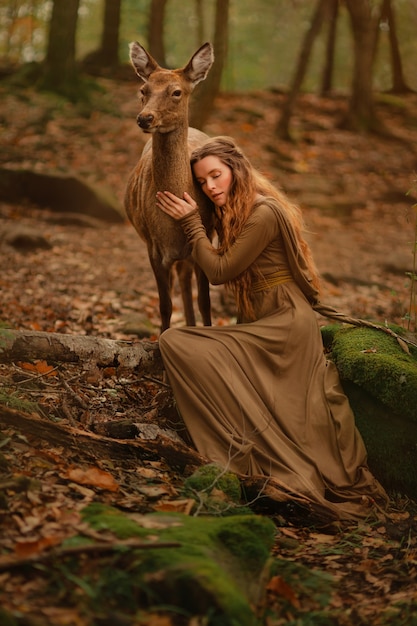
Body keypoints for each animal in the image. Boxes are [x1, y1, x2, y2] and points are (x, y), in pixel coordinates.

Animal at [123, 40, 214, 332]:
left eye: (176, 92)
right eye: (143, 90)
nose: (145, 118)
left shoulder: (204, 240)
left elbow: (205, 302)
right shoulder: (154, 247)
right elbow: (164, 306)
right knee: (180, 282)